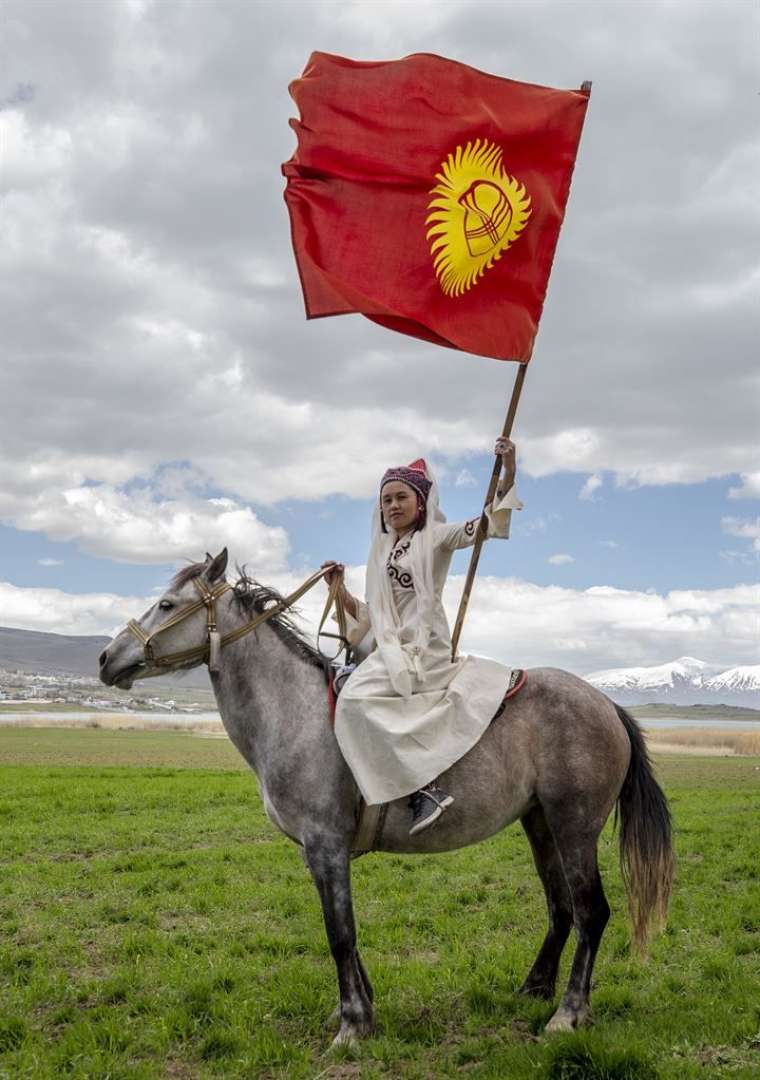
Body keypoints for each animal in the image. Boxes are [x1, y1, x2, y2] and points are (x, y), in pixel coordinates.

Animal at [99, 548, 669, 1045]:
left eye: (167, 605)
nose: (106, 658)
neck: (294, 712)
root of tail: (606, 704)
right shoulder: (318, 852)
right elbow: (343, 930)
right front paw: (359, 1010)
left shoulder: (326, 844)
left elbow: (340, 933)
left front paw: (352, 1026)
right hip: (541, 822)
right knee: (561, 908)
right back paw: (533, 990)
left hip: (575, 826)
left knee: (592, 912)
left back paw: (568, 1014)